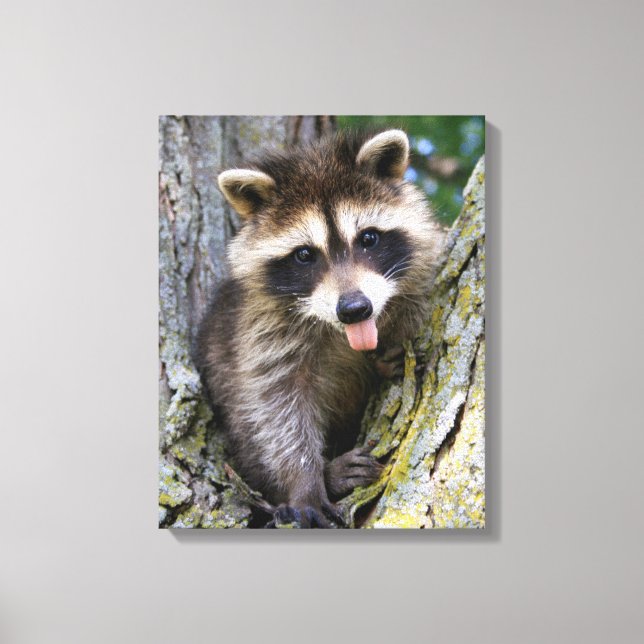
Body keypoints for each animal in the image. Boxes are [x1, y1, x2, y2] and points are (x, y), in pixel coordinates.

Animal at [194, 129, 445, 528]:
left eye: (368, 238)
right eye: (304, 255)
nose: (355, 309)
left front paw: (389, 349)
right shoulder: (259, 330)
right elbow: (276, 407)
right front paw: (304, 481)